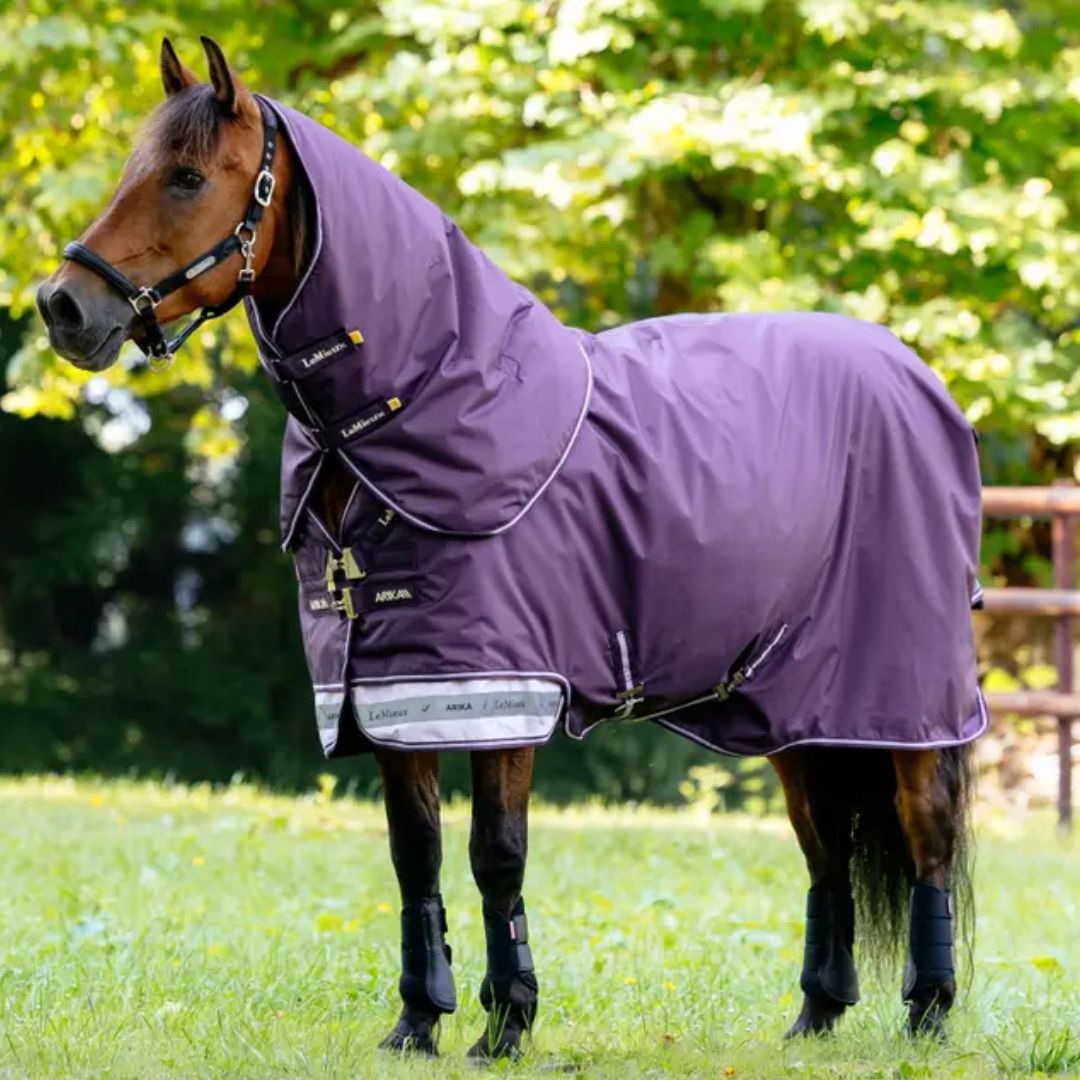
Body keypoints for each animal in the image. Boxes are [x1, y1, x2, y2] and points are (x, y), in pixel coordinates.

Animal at [37, 37, 981, 1061]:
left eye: (185, 177)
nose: (63, 306)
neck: (423, 401)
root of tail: (916, 375)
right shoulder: (388, 694)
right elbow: (416, 857)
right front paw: (417, 1021)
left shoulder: (502, 691)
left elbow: (497, 853)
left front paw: (507, 1023)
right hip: (791, 704)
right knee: (825, 844)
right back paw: (814, 1016)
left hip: (905, 694)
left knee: (925, 830)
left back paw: (929, 1012)